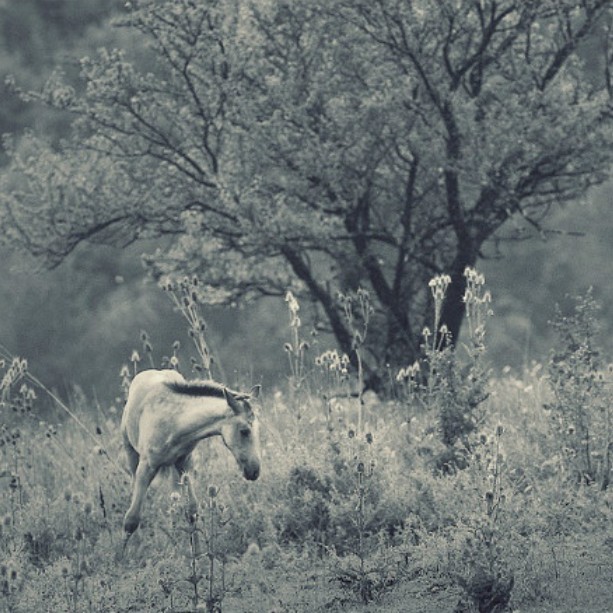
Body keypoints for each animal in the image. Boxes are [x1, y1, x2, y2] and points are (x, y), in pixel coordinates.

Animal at [120, 368, 260, 540]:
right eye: (244, 431)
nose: (255, 471)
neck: (174, 422)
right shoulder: (146, 467)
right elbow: (131, 519)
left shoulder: (184, 463)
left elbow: (191, 510)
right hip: (131, 454)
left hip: (174, 468)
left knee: (175, 500)